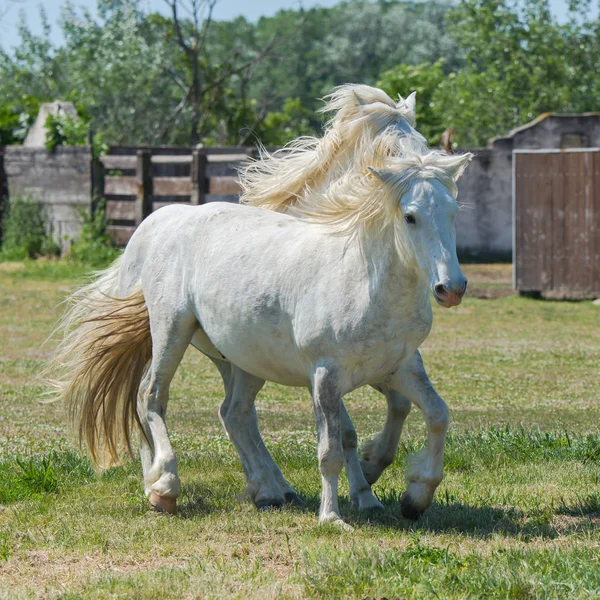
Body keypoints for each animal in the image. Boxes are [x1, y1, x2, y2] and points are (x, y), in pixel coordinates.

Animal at [49, 131, 472, 524]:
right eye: (410, 216)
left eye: (453, 212)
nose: (450, 288)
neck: (363, 282)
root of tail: (158, 223)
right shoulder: (326, 377)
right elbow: (331, 450)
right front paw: (332, 518)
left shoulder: (398, 368)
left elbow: (437, 415)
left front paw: (414, 496)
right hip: (171, 330)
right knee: (150, 396)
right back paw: (164, 487)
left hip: (242, 360)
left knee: (233, 412)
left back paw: (264, 490)